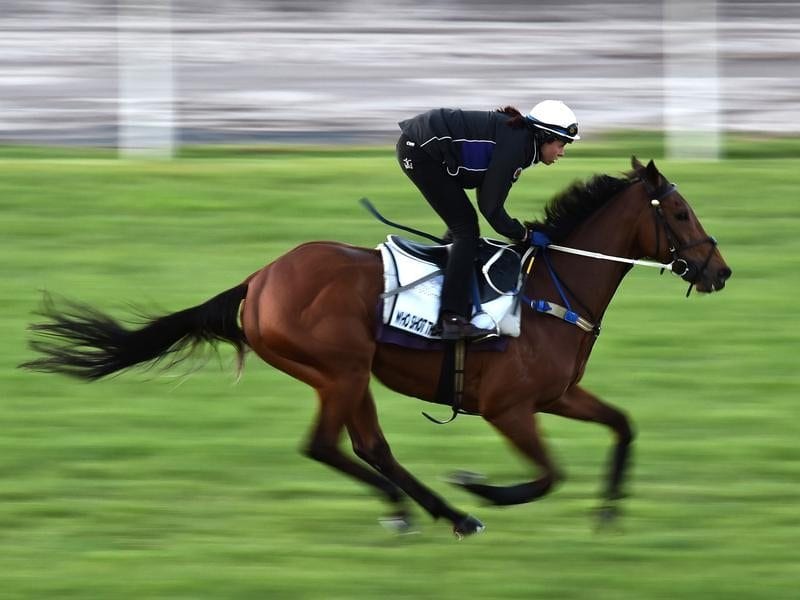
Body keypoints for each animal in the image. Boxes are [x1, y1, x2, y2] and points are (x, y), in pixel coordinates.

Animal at [21, 156, 732, 540]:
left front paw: (609, 513)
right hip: (339, 369)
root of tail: (258, 280)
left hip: (349, 374)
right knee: (329, 446)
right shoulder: (508, 408)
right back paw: (453, 512)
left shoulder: (556, 394)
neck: (549, 291)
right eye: (681, 213)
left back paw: (428, 513)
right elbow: (549, 475)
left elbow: (623, 425)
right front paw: (482, 489)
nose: (719, 271)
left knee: (369, 448)